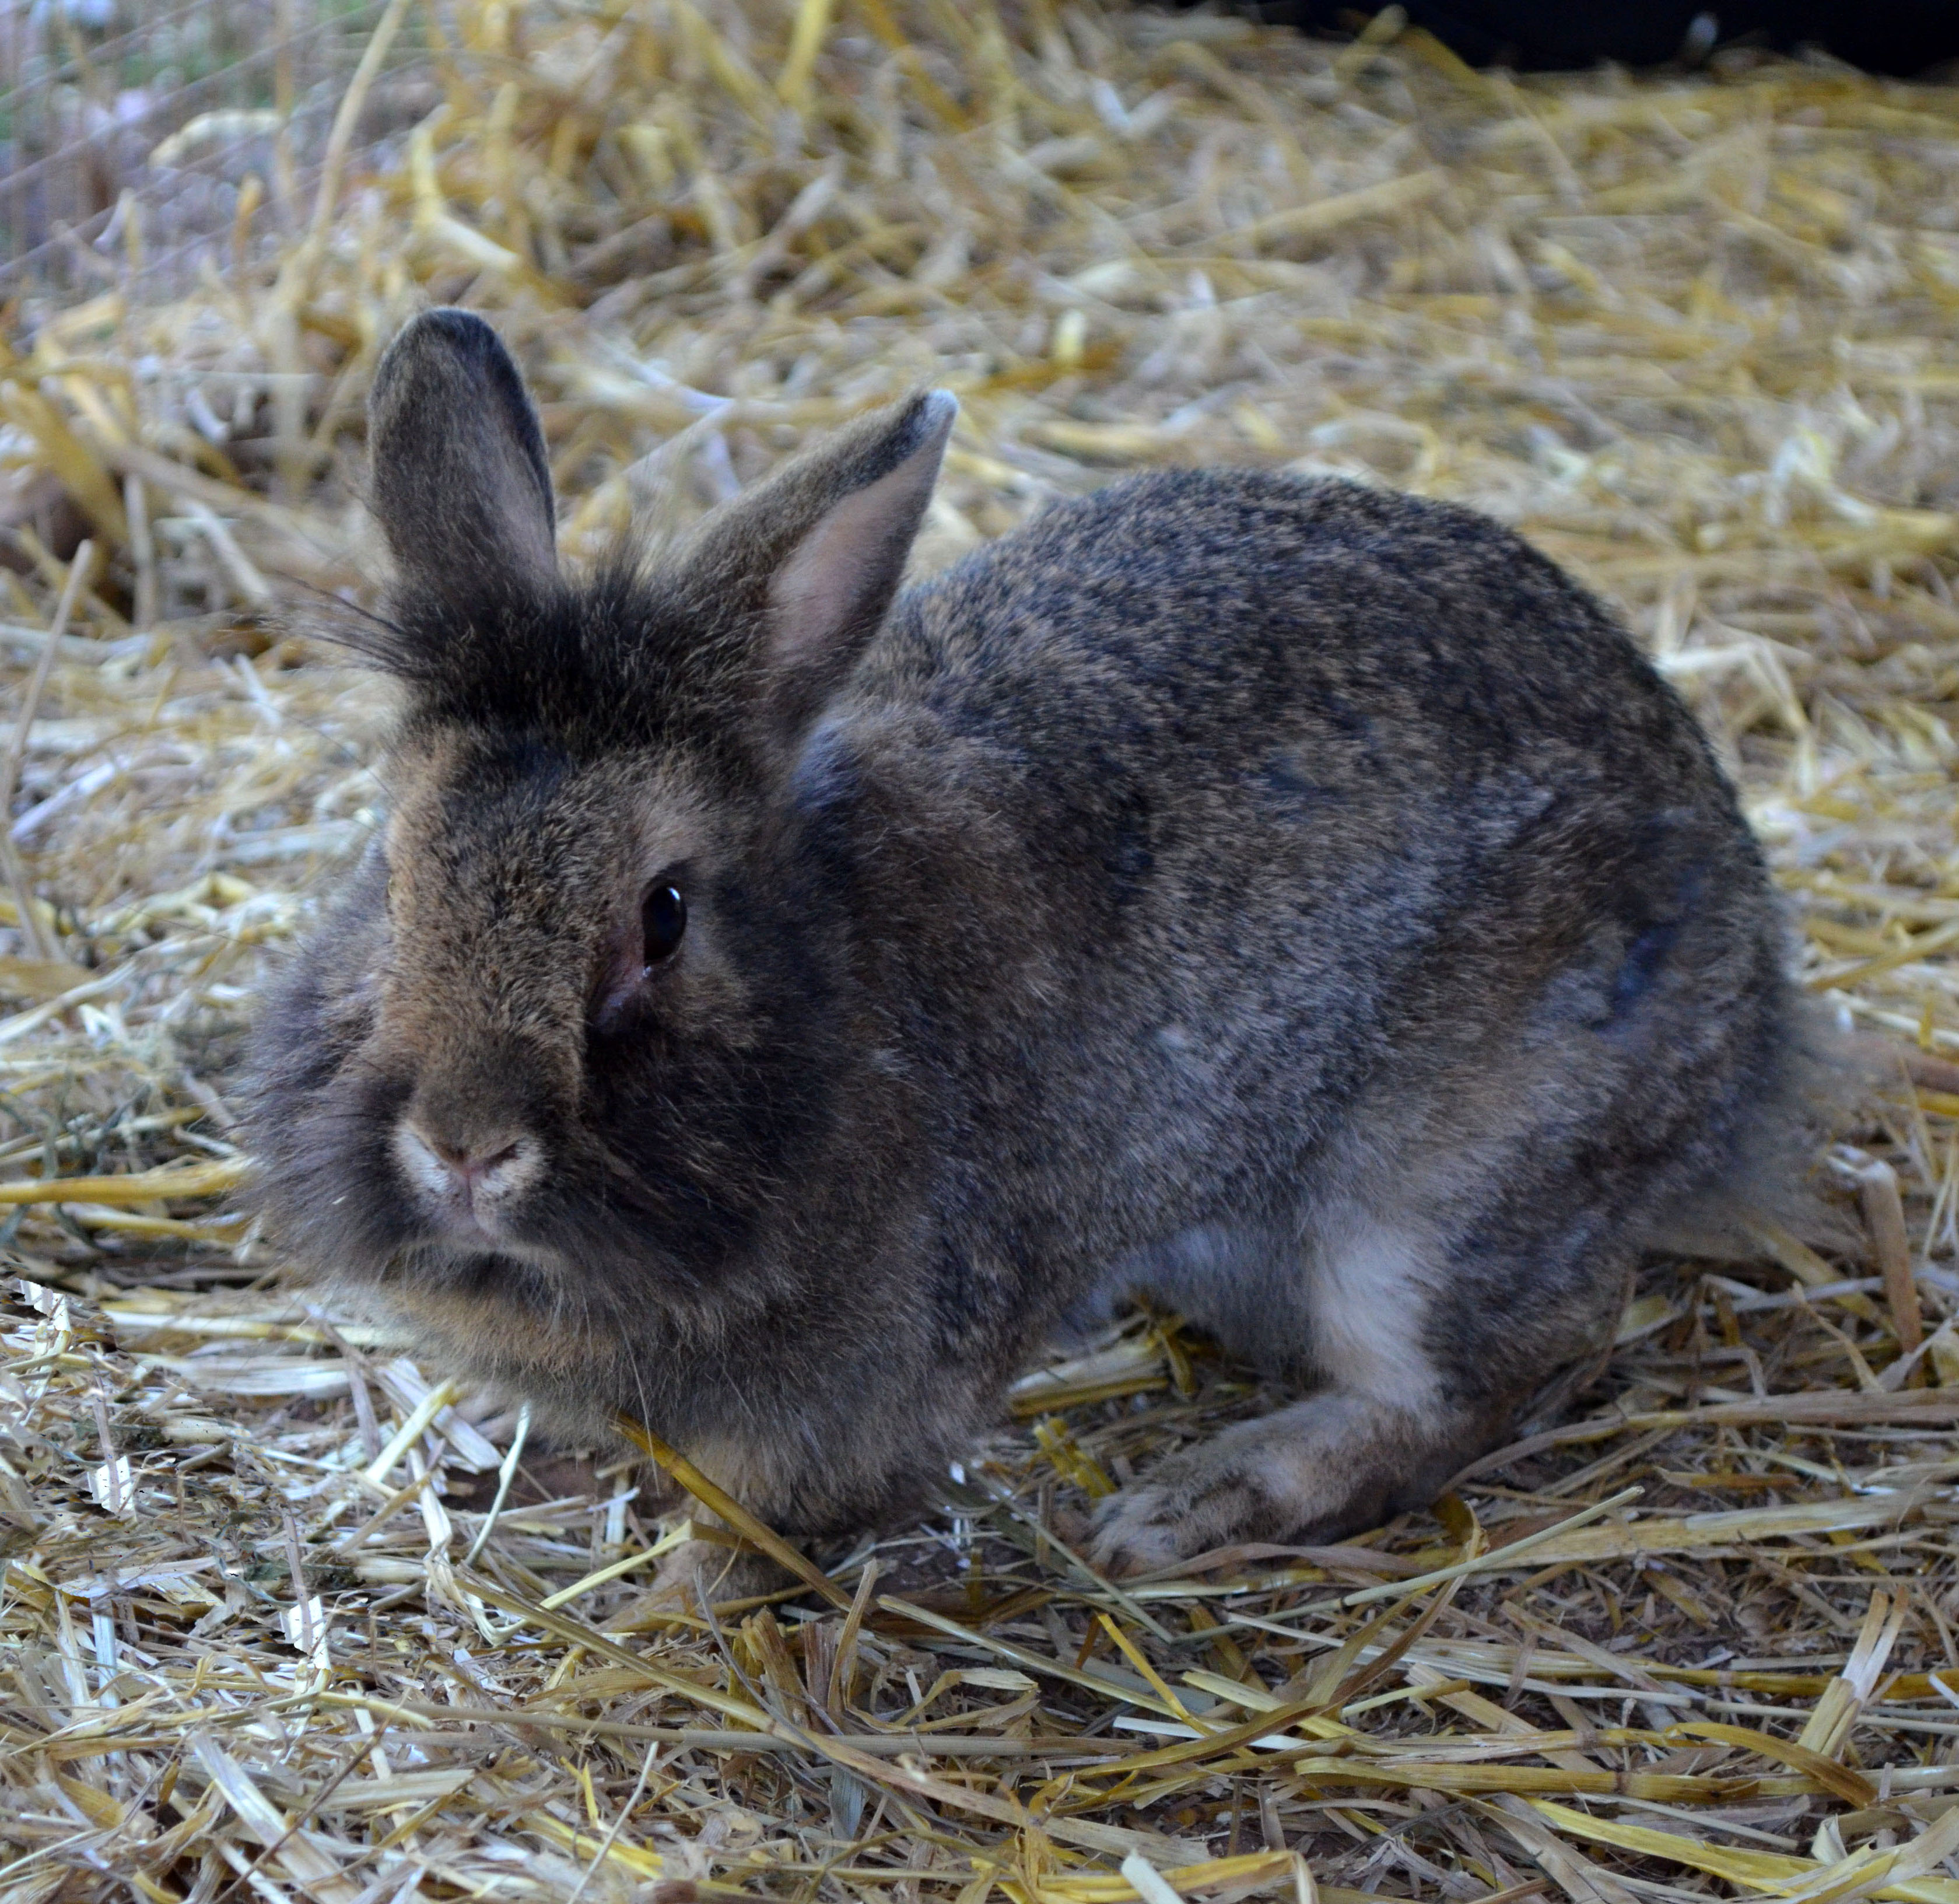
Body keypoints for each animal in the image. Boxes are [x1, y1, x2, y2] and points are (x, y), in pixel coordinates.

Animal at [248, 311, 1818, 1583]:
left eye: (664, 916)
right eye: (389, 870)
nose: (464, 1147)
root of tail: (1751, 1015)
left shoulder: (867, 1391)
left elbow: (782, 1517)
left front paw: (690, 1593)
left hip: (1431, 1197)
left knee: (1483, 1373)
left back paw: (1188, 1506)